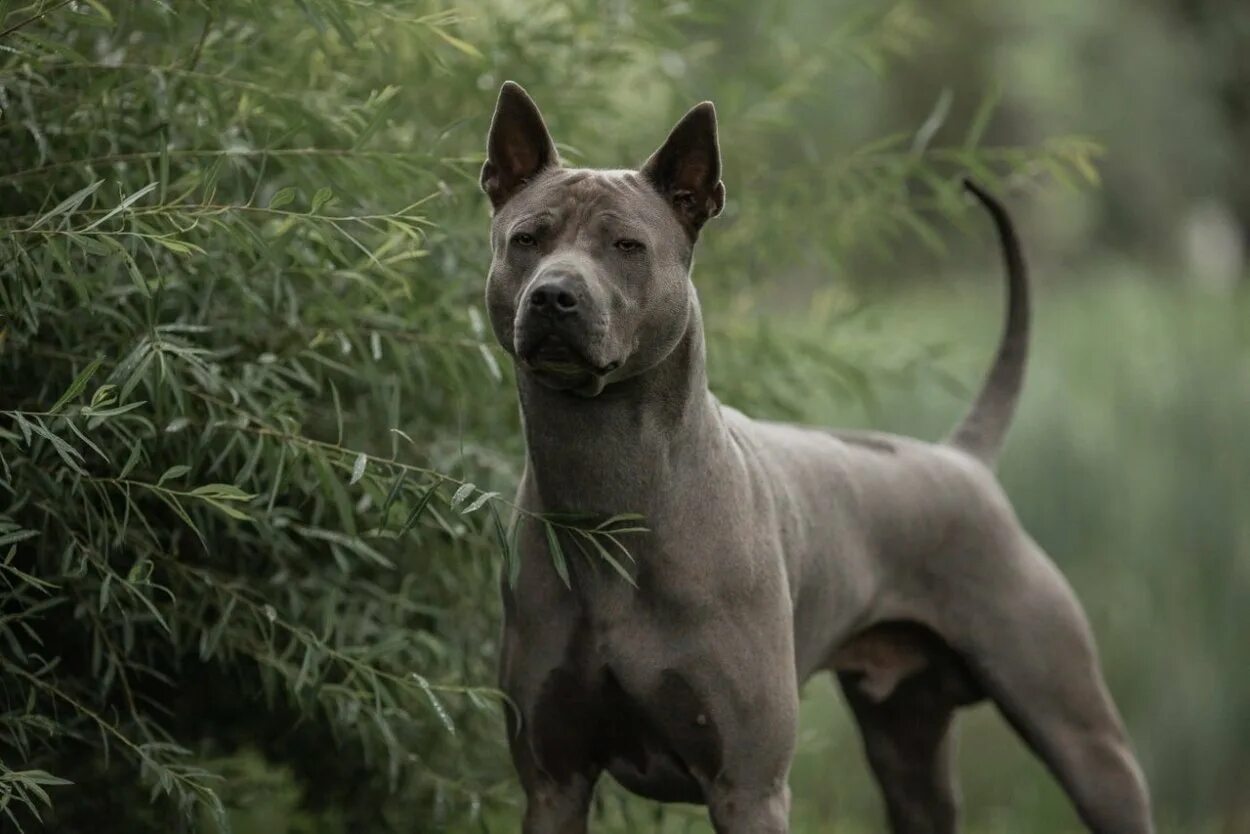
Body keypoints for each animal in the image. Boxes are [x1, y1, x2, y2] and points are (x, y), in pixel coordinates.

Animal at [475, 80, 1150, 834]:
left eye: (627, 245)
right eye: (527, 239)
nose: (554, 296)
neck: (613, 494)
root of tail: (964, 462)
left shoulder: (749, 786)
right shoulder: (553, 782)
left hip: (1082, 736)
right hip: (906, 747)